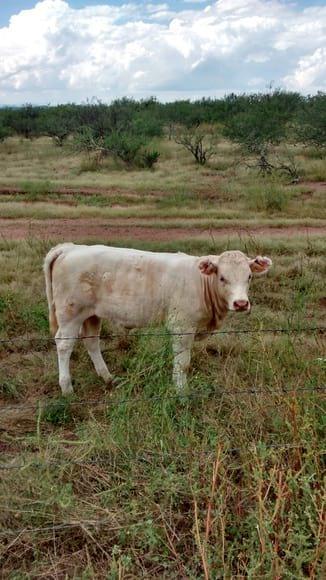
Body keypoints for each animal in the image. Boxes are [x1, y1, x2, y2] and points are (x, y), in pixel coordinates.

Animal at [44, 242, 272, 396]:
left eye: (249, 277)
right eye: (222, 277)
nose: (241, 303)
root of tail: (70, 248)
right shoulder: (182, 326)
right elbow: (183, 363)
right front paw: (181, 391)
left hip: (91, 314)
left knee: (91, 342)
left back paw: (108, 378)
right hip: (70, 314)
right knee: (64, 345)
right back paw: (67, 388)